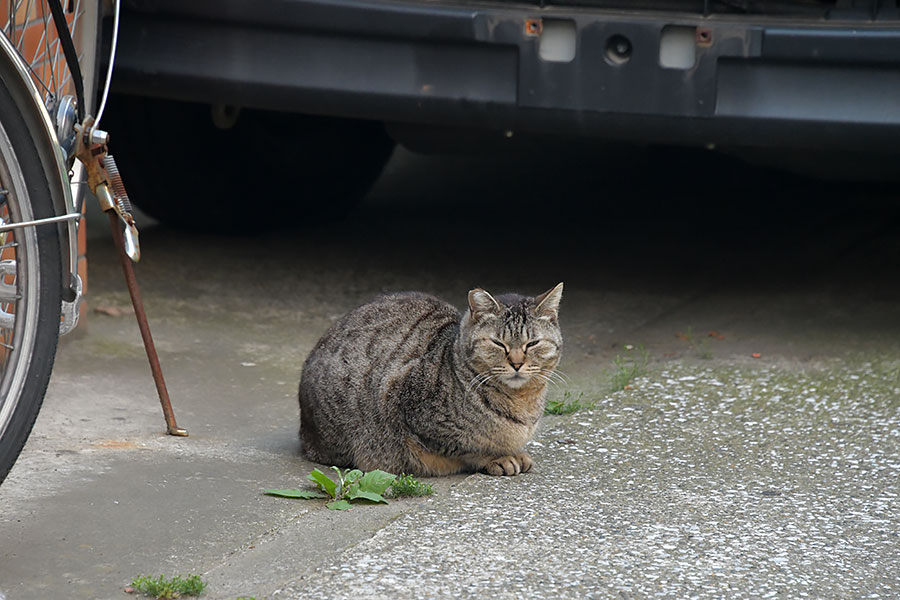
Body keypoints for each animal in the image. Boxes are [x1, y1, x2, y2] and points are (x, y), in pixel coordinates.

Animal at [296, 284, 564, 476]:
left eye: (533, 343)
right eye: (498, 343)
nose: (517, 363)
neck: (521, 401)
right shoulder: (413, 414)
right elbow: (467, 446)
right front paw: (498, 457)